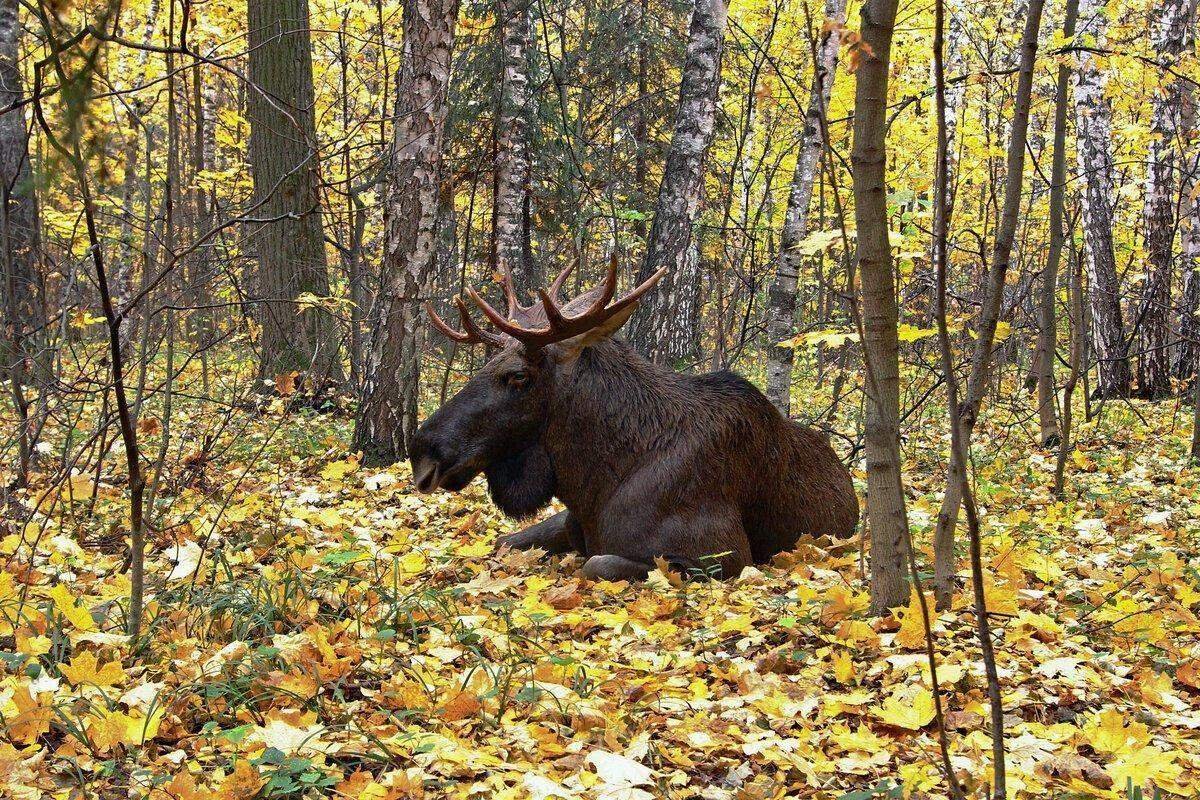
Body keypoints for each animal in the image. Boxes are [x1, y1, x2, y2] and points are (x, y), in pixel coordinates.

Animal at [408, 262, 859, 582]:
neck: (595, 479)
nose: (422, 451)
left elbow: (597, 564)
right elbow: (506, 542)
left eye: (518, 376)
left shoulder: (725, 556)